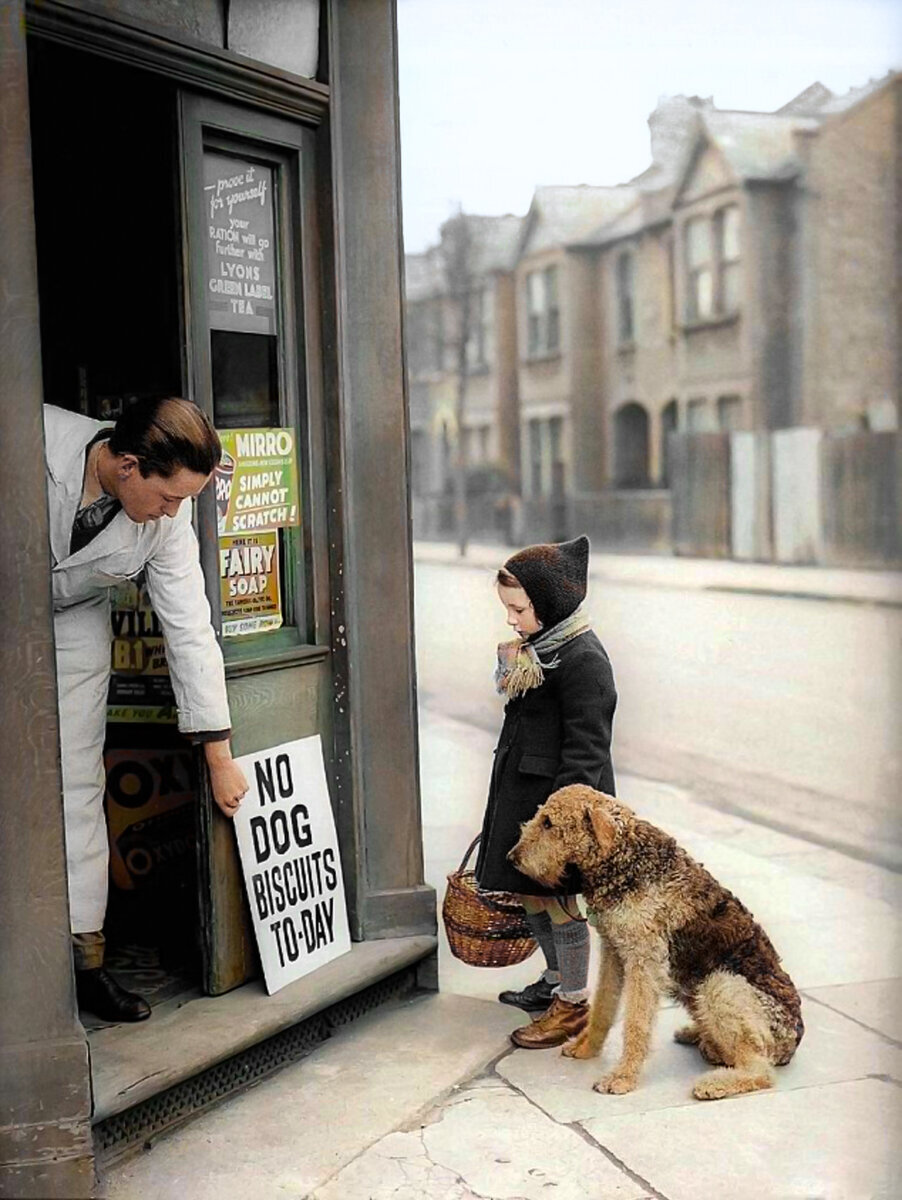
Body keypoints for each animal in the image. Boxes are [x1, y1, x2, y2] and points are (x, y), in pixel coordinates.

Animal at [508, 782, 801, 1099]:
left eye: (549, 823)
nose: (512, 858)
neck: (625, 857)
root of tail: (794, 1040)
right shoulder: (613, 950)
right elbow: (603, 1006)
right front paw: (586, 1048)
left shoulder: (643, 960)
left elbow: (636, 1022)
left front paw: (622, 1077)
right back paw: (698, 1036)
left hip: (722, 985)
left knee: (760, 1070)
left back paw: (714, 1083)